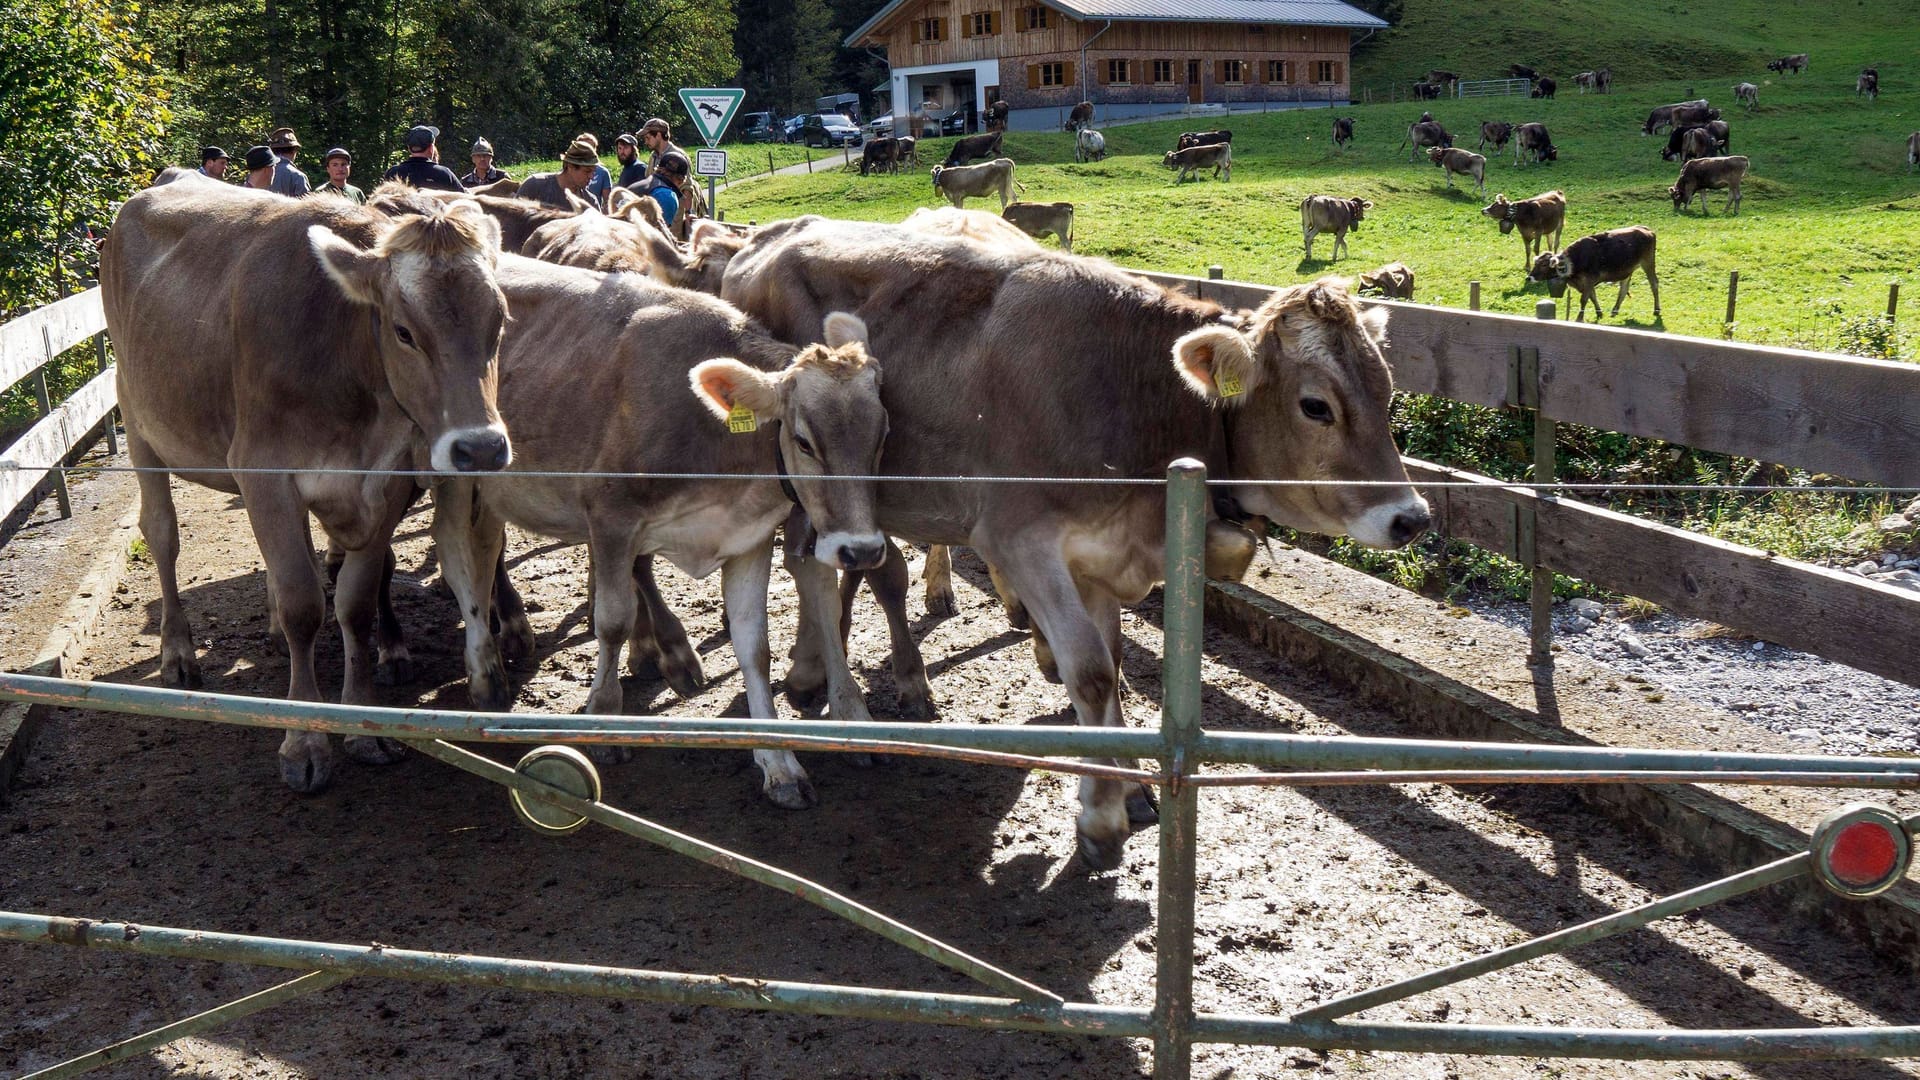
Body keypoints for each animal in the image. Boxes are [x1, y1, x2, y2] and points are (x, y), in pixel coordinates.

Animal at [104, 170, 510, 791]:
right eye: (403, 331)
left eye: (500, 320)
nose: (481, 448)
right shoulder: (264, 470)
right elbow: (304, 606)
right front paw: (304, 741)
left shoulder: (388, 479)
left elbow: (355, 604)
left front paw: (363, 724)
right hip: (140, 422)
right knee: (162, 535)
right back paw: (178, 651)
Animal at [432, 255, 887, 803]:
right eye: (804, 441)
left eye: (883, 434)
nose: (861, 550)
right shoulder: (610, 515)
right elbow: (611, 620)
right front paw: (603, 721)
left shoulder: (748, 536)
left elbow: (754, 647)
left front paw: (778, 762)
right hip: (453, 474)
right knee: (456, 552)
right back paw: (485, 672)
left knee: (486, 547)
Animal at [718, 212, 1428, 864]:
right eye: (1316, 406)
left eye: (1389, 394)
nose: (1412, 517)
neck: (1130, 395)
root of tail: (765, 236)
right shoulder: (1019, 541)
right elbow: (1088, 671)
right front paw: (1101, 819)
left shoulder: (1103, 553)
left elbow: (1110, 660)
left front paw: (1131, 785)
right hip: (806, 484)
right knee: (816, 567)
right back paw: (831, 681)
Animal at [1520, 226, 1658, 322]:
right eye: (1536, 263)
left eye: (1544, 265)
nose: (1529, 278)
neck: (1576, 259)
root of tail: (1646, 229)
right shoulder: (1586, 283)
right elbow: (1593, 297)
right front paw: (1599, 313)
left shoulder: (1589, 280)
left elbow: (1584, 299)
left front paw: (1579, 318)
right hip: (1626, 271)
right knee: (1623, 289)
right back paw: (1614, 310)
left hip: (1648, 263)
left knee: (1654, 284)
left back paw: (1656, 310)